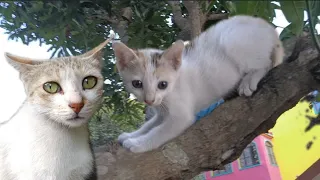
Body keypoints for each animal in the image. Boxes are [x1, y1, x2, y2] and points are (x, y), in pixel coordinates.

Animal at [111, 15, 284, 153]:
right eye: (137, 83)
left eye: (163, 85)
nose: (149, 100)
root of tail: (269, 29)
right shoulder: (161, 111)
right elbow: (149, 126)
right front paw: (131, 135)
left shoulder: (180, 117)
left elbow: (158, 131)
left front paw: (137, 143)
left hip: (234, 42)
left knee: (266, 64)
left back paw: (249, 80)